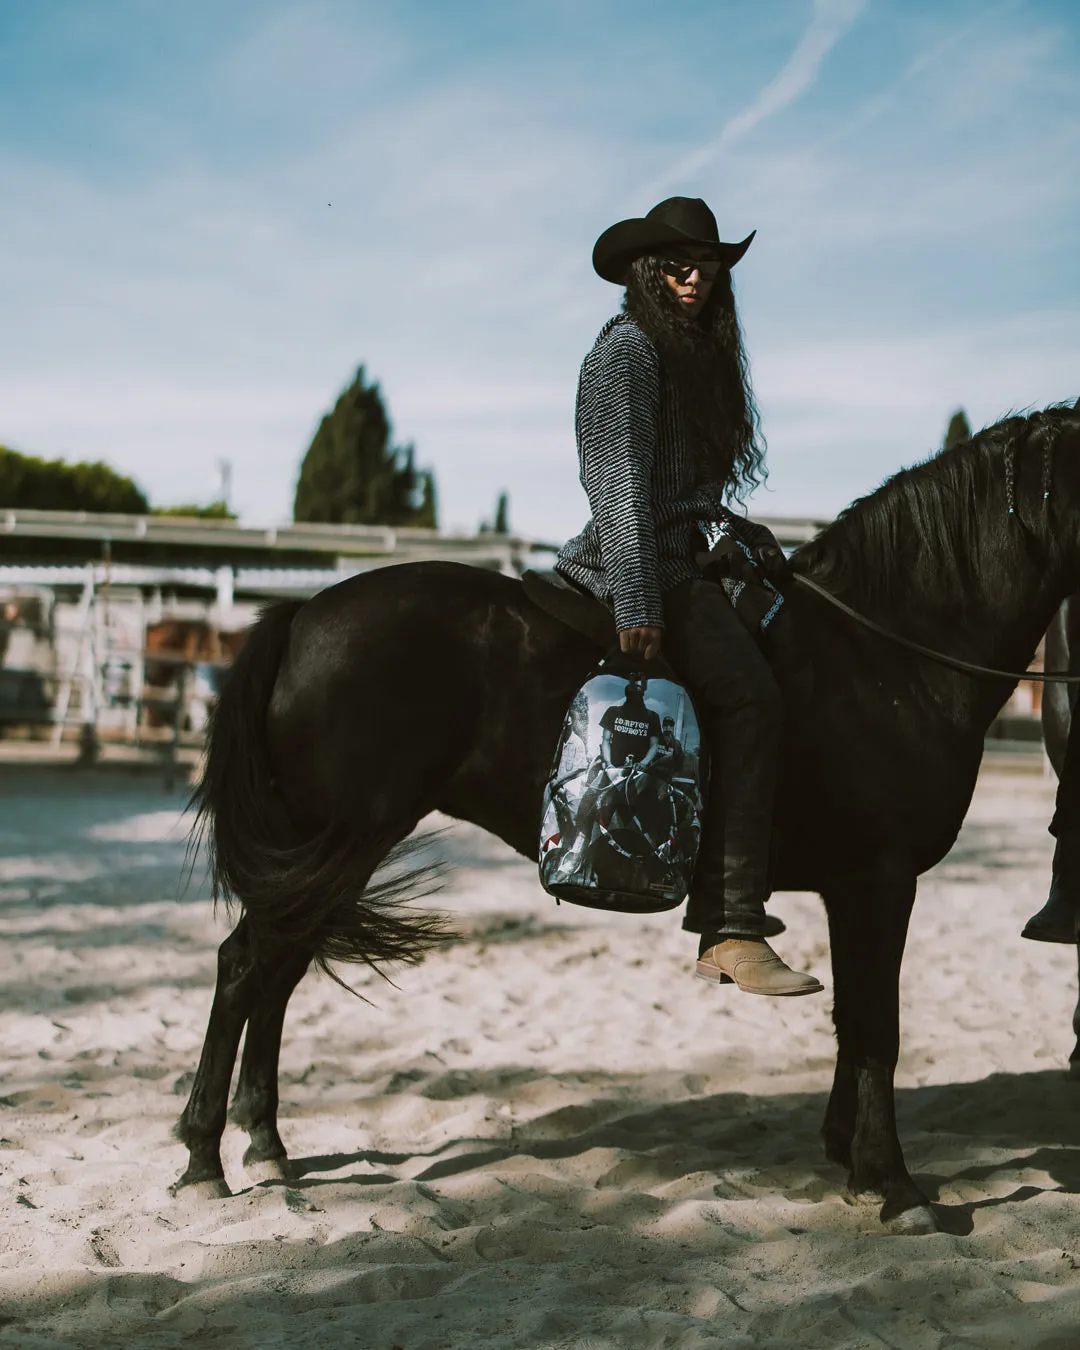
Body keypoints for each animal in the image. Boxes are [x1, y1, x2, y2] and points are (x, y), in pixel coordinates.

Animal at [175, 396, 1080, 1225]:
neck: (882, 652)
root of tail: (303, 614)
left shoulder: (849, 888)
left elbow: (851, 1023)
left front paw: (847, 1155)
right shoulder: (880, 881)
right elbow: (876, 1027)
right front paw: (894, 1185)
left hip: (324, 851)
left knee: (277, 972)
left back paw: (266, 1143)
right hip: (342, 840)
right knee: (246, 966)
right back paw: (202, 1157)